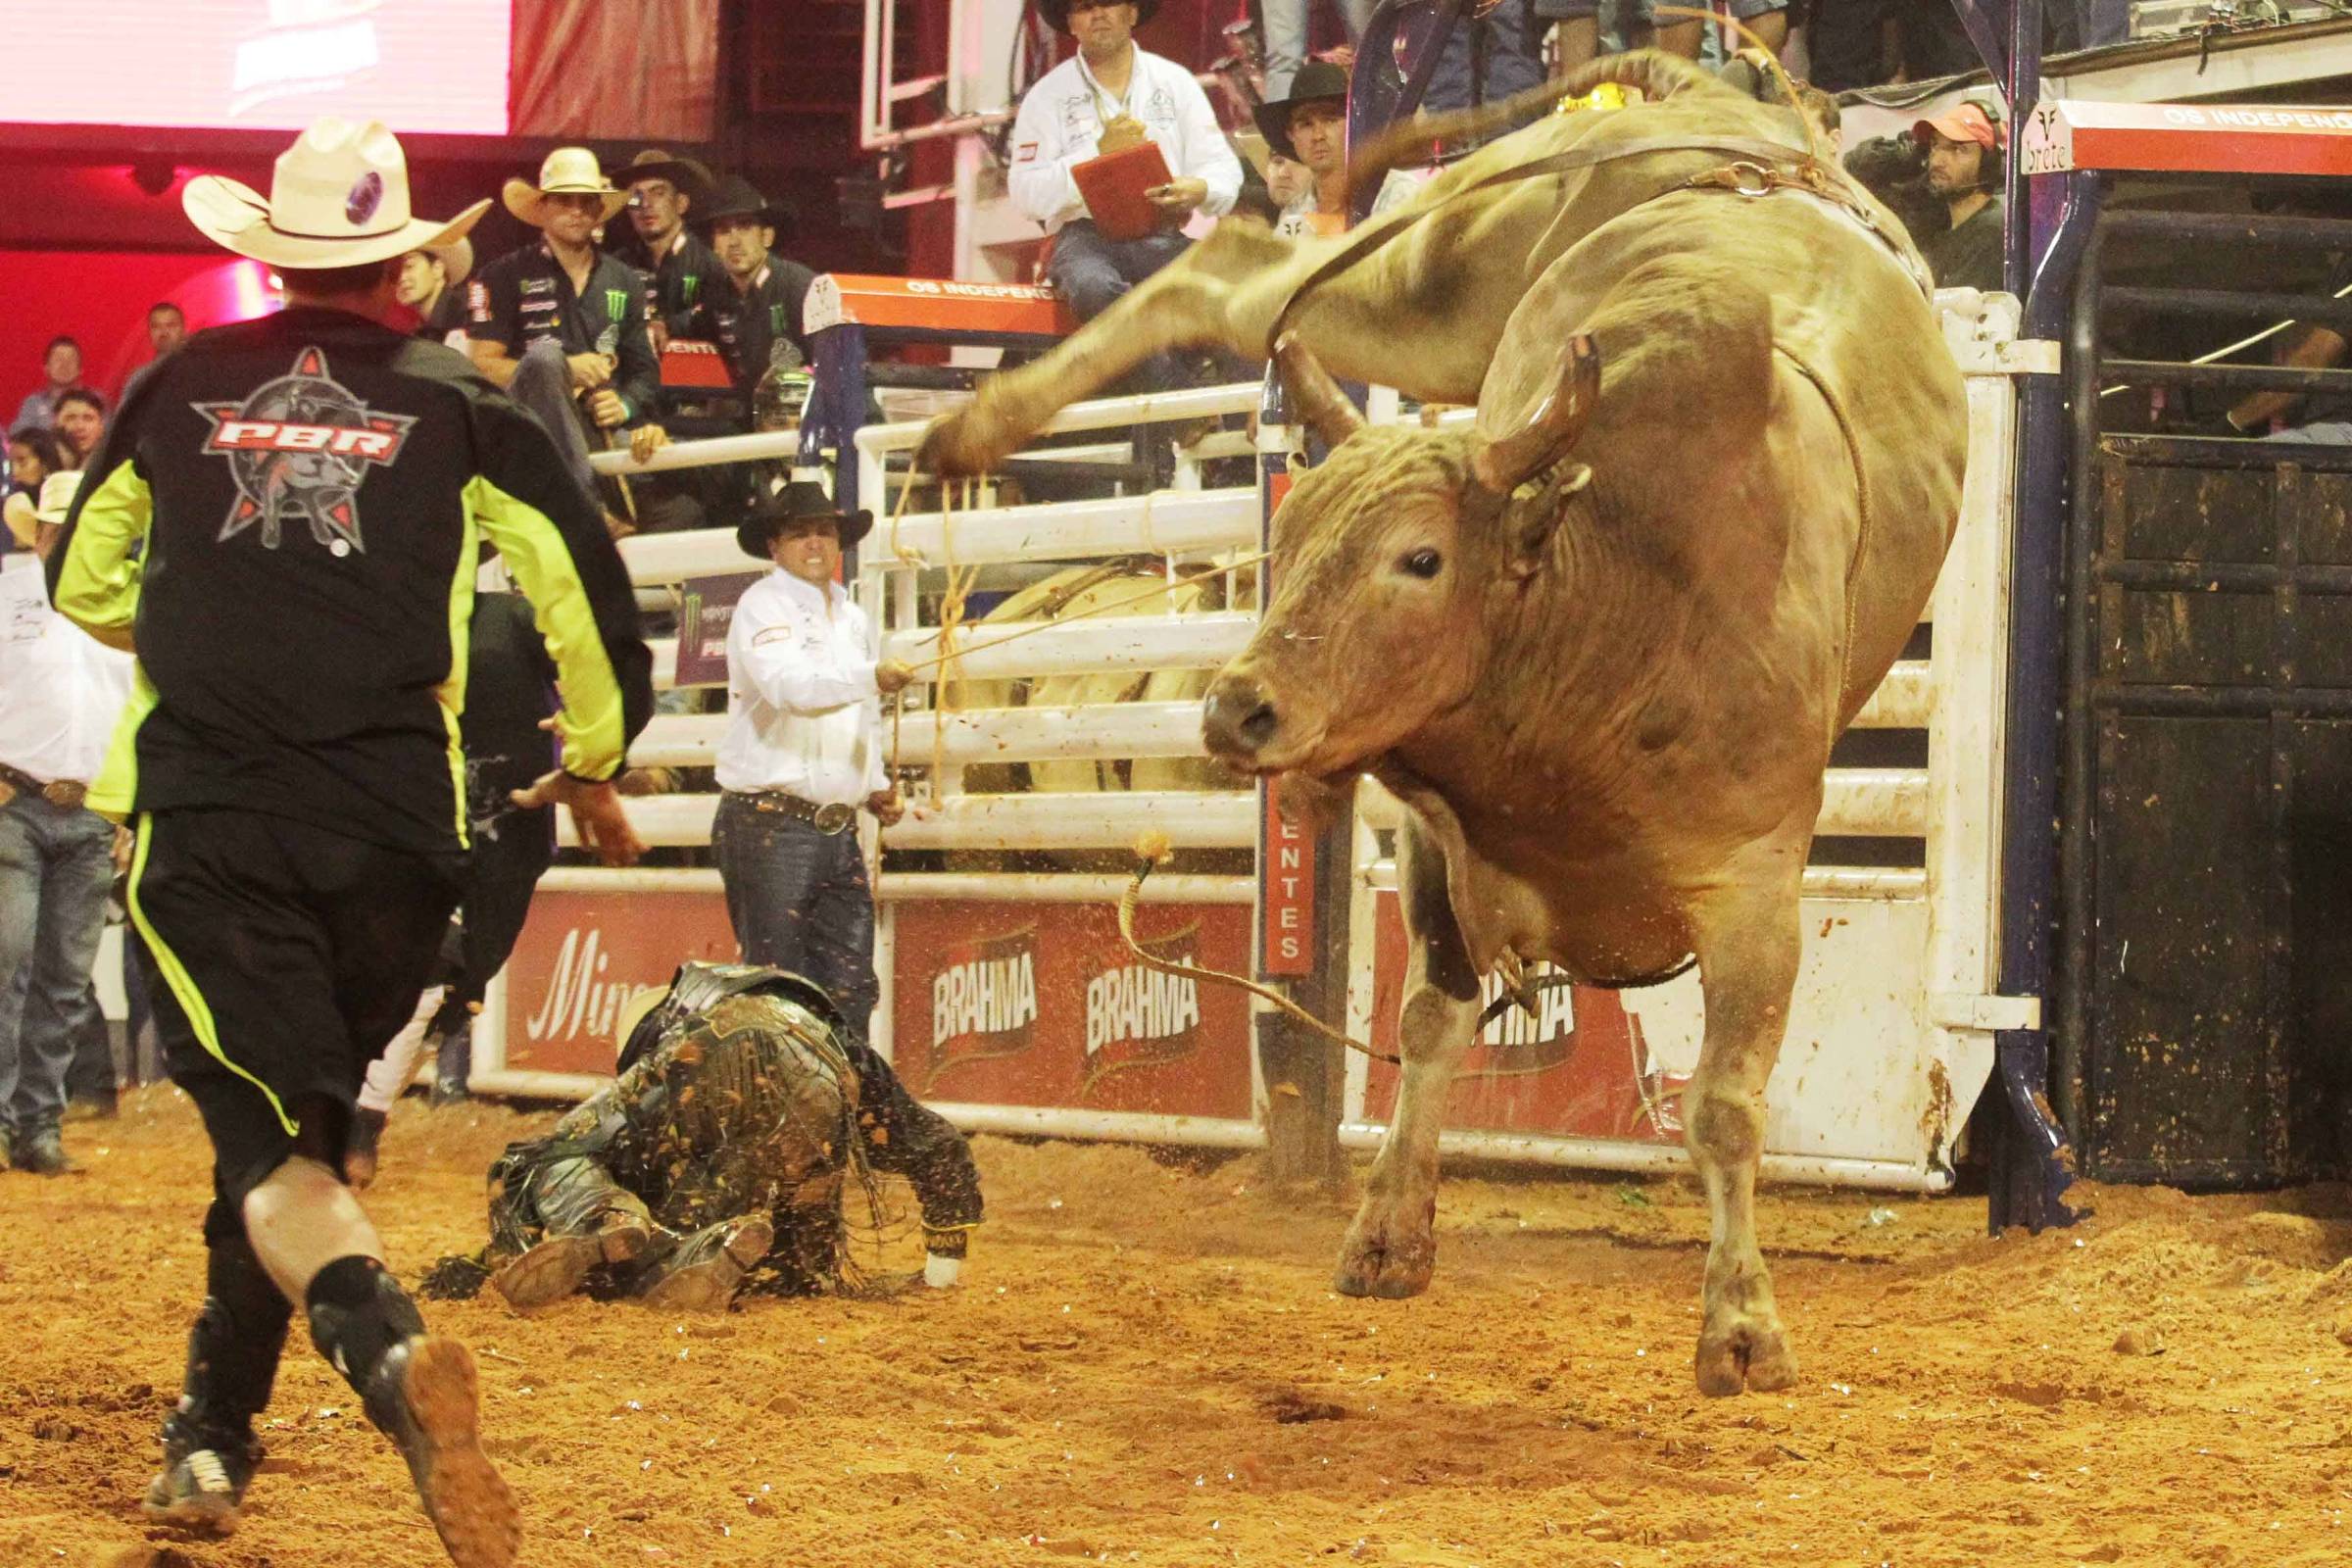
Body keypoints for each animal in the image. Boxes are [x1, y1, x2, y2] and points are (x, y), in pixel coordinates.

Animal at [917, 52, 1966, 1400]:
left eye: (1420, 558)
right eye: (1288, 535)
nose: (1237, 708)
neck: (1598, 596)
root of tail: (1734, 105)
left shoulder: (1756, 889)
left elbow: (1725, 1104)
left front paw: (1740, 1324)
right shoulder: (1435, 841)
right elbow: (1428, 1020)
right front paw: (1386, 1229)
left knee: (1242, 267)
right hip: (1450, 268)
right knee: (1239, 271)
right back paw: (971, 427)